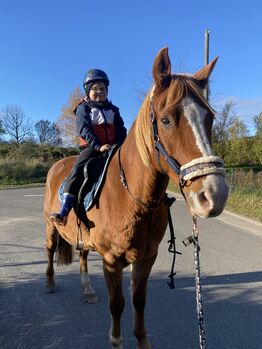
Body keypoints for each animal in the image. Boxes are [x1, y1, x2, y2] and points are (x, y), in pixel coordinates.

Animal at [44, 47, 228, 348]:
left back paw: (87, 290)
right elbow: (117, 305)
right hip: (50, 226)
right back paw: (49, 283)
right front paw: (116, 340)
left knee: (82, 254)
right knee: (49, 250)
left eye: (209, 118)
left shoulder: (146, 258)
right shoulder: (111, 260)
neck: (133, 198)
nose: (214, 194)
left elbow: (139, 301)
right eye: (166, 120)